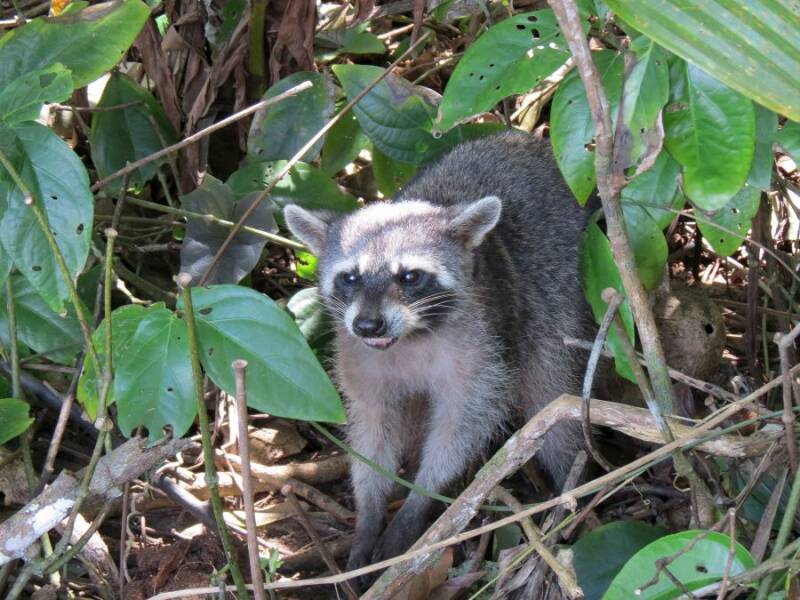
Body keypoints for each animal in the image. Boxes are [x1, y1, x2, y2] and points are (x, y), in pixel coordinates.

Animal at [284, 130, 595, 576]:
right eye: (350, 277)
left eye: (409, 276)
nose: (367, 326)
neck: (409, 337)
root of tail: (523, 139)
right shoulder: (358, 357)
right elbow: (372, 429)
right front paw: (369, 512)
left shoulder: (481, 350)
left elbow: (464, 424)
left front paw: (418, 503)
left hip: (557, 287)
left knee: (550, 392)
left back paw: (570, 484)